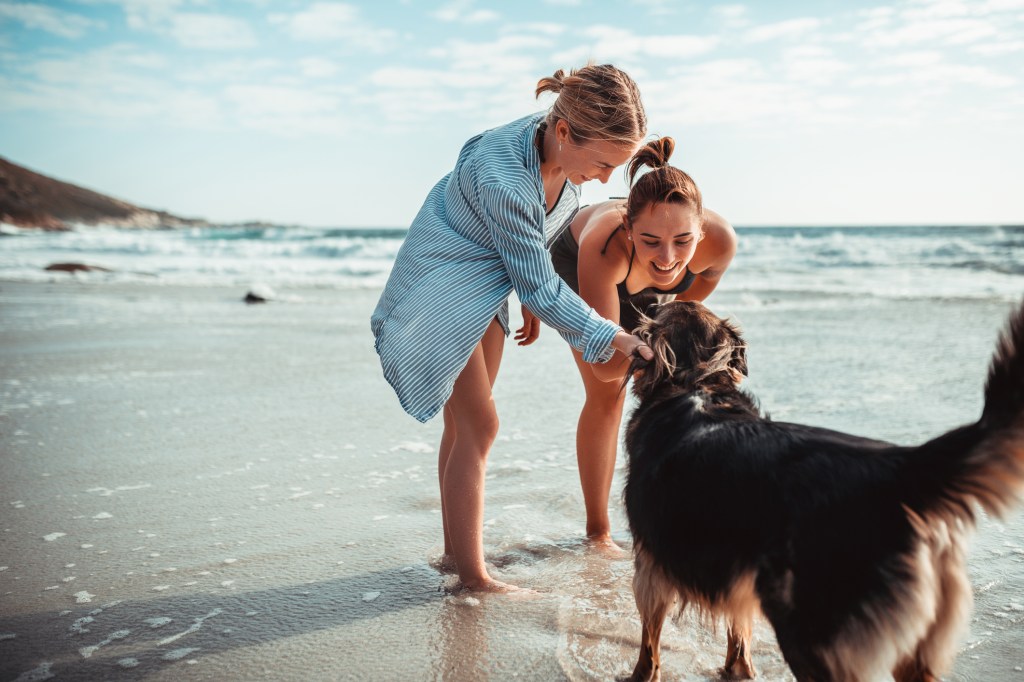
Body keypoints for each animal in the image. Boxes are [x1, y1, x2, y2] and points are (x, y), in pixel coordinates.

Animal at [618, 301, 1024, 675]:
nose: (652, 298)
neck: (695, 382)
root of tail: (900, 467)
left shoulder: (650, 565)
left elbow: (650, 641)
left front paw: (642, 674)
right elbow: (740, 630)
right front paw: (738, 670)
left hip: (810, 630)